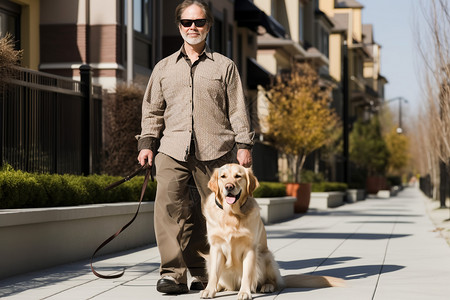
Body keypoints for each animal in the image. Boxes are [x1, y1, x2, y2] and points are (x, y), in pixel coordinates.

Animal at [200, 164, 344, 300]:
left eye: (238, 176)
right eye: (223, 177)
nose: (229, 187)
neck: (230, 214)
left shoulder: (250, 248)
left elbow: (247, 274)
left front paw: (245, 292)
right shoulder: (216, 248)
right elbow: (214, 274)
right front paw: (209, 290)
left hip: (266, 257)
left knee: (272, 282)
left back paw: (267, 286)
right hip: (209, 260)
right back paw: (218, 287)